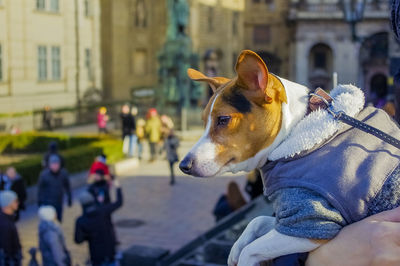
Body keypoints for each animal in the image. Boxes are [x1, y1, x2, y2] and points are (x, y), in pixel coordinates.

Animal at [180, 50, 400, 266]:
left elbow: (250, 250)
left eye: (223, 119)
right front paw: (237, 247)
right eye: (203, 121)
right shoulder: (289, 220)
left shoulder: (312, 223)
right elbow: (257, 221)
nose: (183, 165)